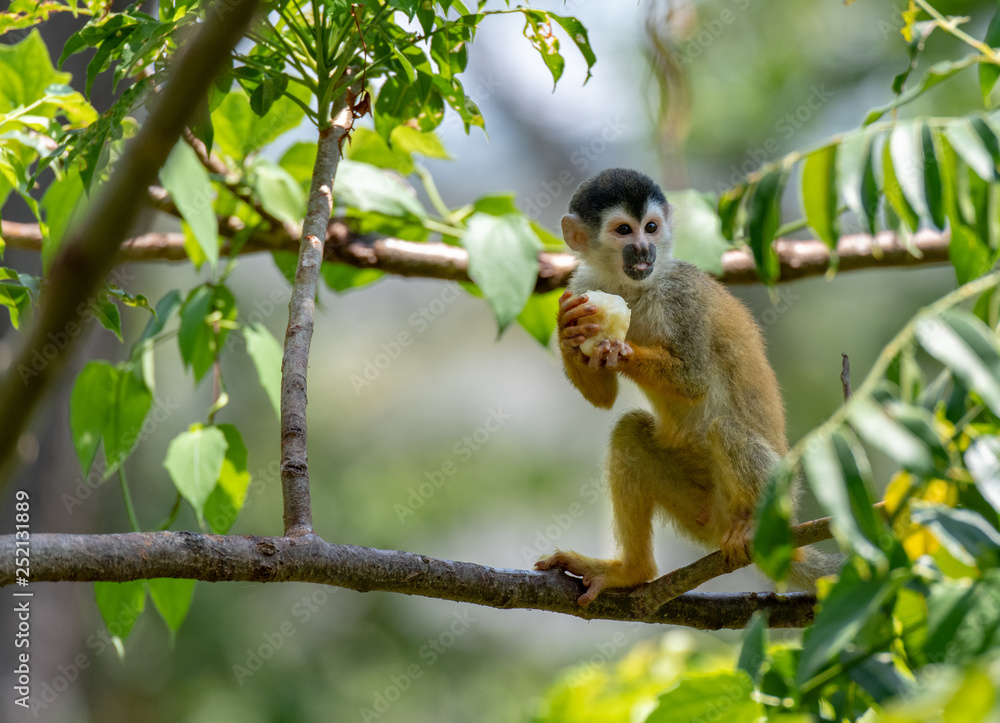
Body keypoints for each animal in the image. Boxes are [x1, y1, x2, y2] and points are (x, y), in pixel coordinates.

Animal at [534, 167, 838, 605]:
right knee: (628, 433)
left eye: (651, 227)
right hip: (697, 510)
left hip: (778, 501)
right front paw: (568, 330)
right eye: (624, 230)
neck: (631, 286)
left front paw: (619, 350)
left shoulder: (680, 295)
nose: (644, 249)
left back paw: (750, 525)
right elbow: (603, 398)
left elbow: (693, 380)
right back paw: (632, 572)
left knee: (724, 428)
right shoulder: (581, 282)